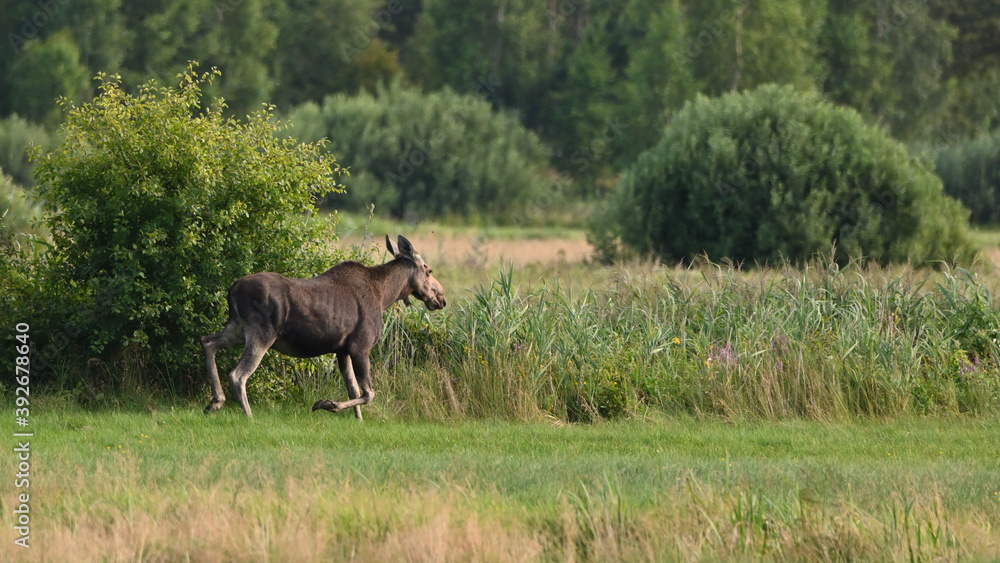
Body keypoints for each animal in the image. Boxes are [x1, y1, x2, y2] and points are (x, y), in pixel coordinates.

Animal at [200, 235, 446, 419]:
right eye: (429, 270)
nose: (441, 298)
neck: (384, 295)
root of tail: (232, 289)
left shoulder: (342, 350)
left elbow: (354, 389)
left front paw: (357, 421)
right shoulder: (361, 346)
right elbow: (368, 393)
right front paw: (326, 404)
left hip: (237, 329)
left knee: (208, 341)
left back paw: (215, 402)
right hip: (261, 333)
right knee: (237, 374)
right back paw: (248, 415)